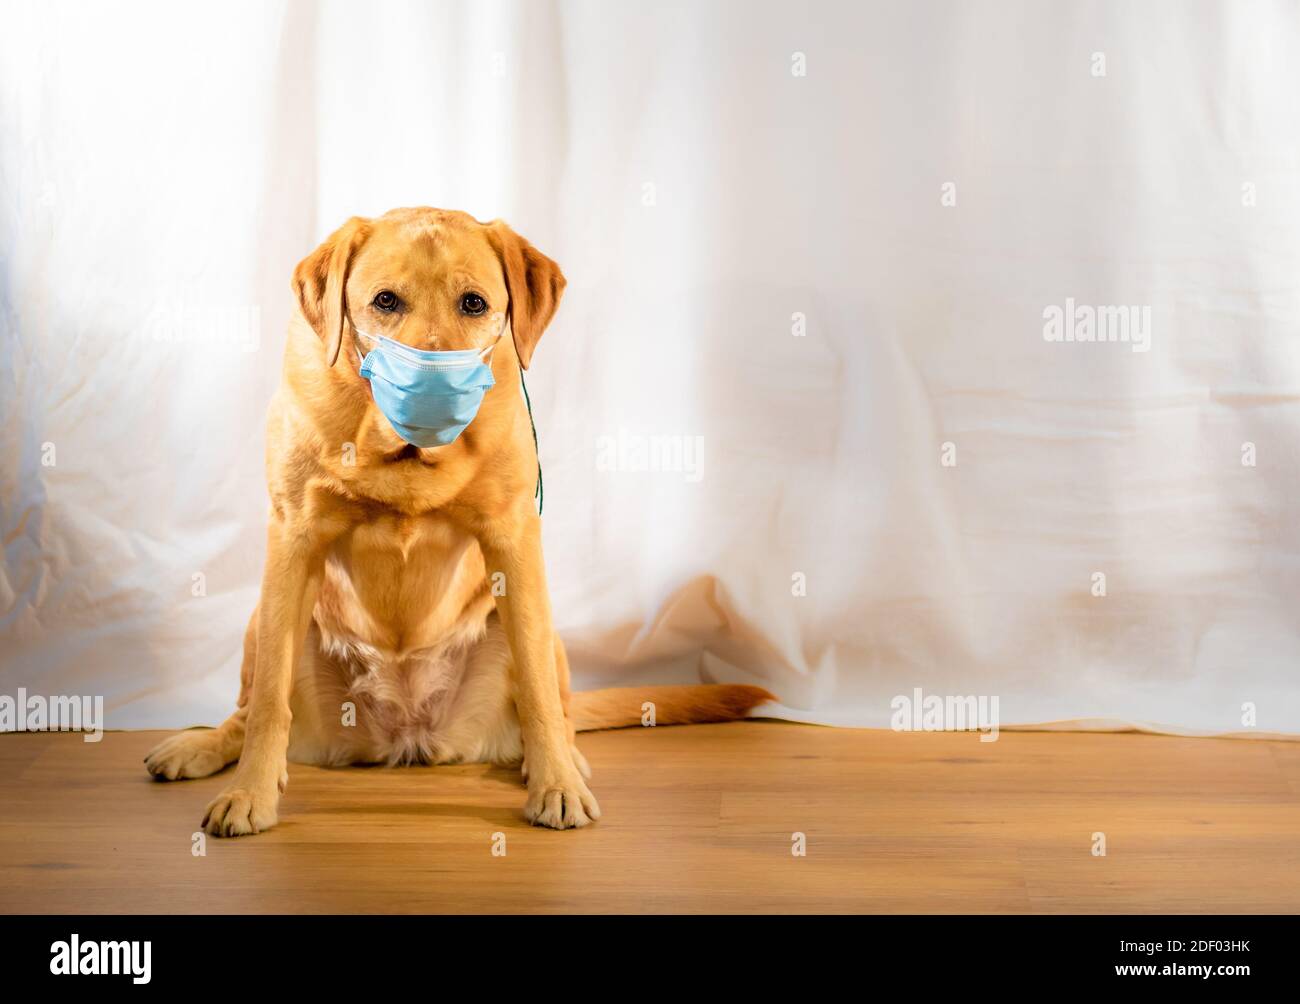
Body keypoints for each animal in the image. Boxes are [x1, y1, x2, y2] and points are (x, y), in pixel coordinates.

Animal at [144, 205, 769, 832]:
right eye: (385, 300)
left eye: (473, 303)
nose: (432, 377)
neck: (404, 458)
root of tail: (409, 732)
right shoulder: (294, 538)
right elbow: (271, 702)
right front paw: (250, 793)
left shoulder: (513, 540)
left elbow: (538, 692)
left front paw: (556, 785)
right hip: (263, 616)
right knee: (246, 711)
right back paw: (199, 746)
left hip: (541, 628)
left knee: (558, 706)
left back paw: (560, 759)